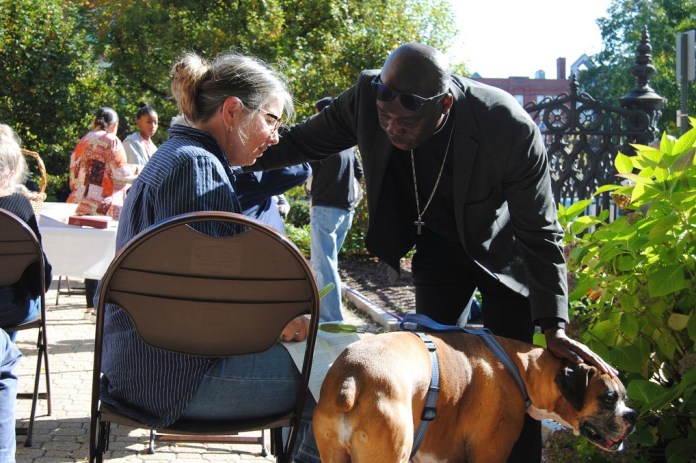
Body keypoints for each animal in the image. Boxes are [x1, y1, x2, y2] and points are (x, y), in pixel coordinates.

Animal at [316, 332, 636, 462]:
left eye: (624, 396)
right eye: (609, 398)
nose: (632, 416)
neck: (522, 368)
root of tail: (353, 378)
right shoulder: (488, 455)